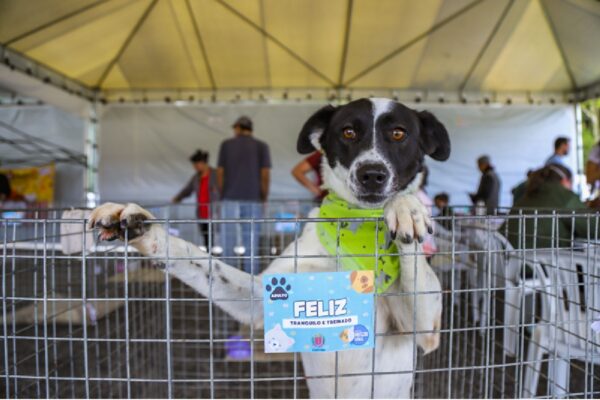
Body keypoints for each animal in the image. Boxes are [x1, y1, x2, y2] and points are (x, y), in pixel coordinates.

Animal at [88, 97, 450, 396]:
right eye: (348, 132)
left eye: (399, 134)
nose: (371, 174)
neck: (358, 228)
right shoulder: (260, 298)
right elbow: (199, 261)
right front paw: (143, 228)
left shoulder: (426, 332)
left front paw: (405, 208)